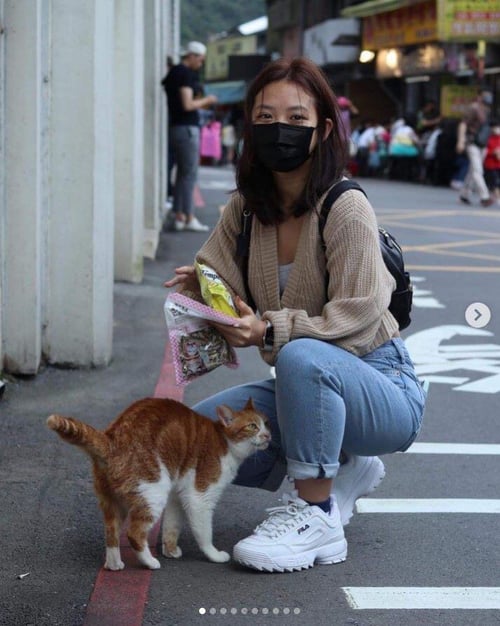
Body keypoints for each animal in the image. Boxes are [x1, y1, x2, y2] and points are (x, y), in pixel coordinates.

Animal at [47, 398, 270, 568]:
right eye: (253, 426)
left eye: (267, 423)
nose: (268, 435)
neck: (226, 444)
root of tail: (111, 438)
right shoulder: (200, 496)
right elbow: (204, 532)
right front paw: (214, 555)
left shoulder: (176, 495)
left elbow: (172, 525)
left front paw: (170, 550)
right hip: (153, 492)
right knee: (134, 533)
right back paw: (150, 562)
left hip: (112, 501)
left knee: (111, 533)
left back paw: (114, 564)